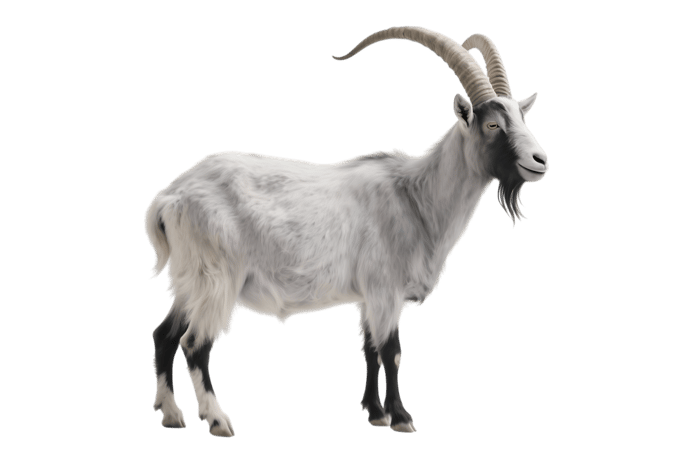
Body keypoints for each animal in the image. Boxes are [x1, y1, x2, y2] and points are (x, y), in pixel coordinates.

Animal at [145, 26, 549, 438]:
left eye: (522, 118)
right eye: (492, 124)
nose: (540, 161)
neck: (415, 196)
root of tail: (170, 197)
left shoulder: (367, 295)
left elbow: (369, 347)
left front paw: (375, 413)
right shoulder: (386, 290)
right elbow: (391, 351)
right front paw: (401, 418)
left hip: (189, 279)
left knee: (165, 334)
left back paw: (171, 414)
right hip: (217, 279)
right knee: (195, 343)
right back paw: (217, 420)